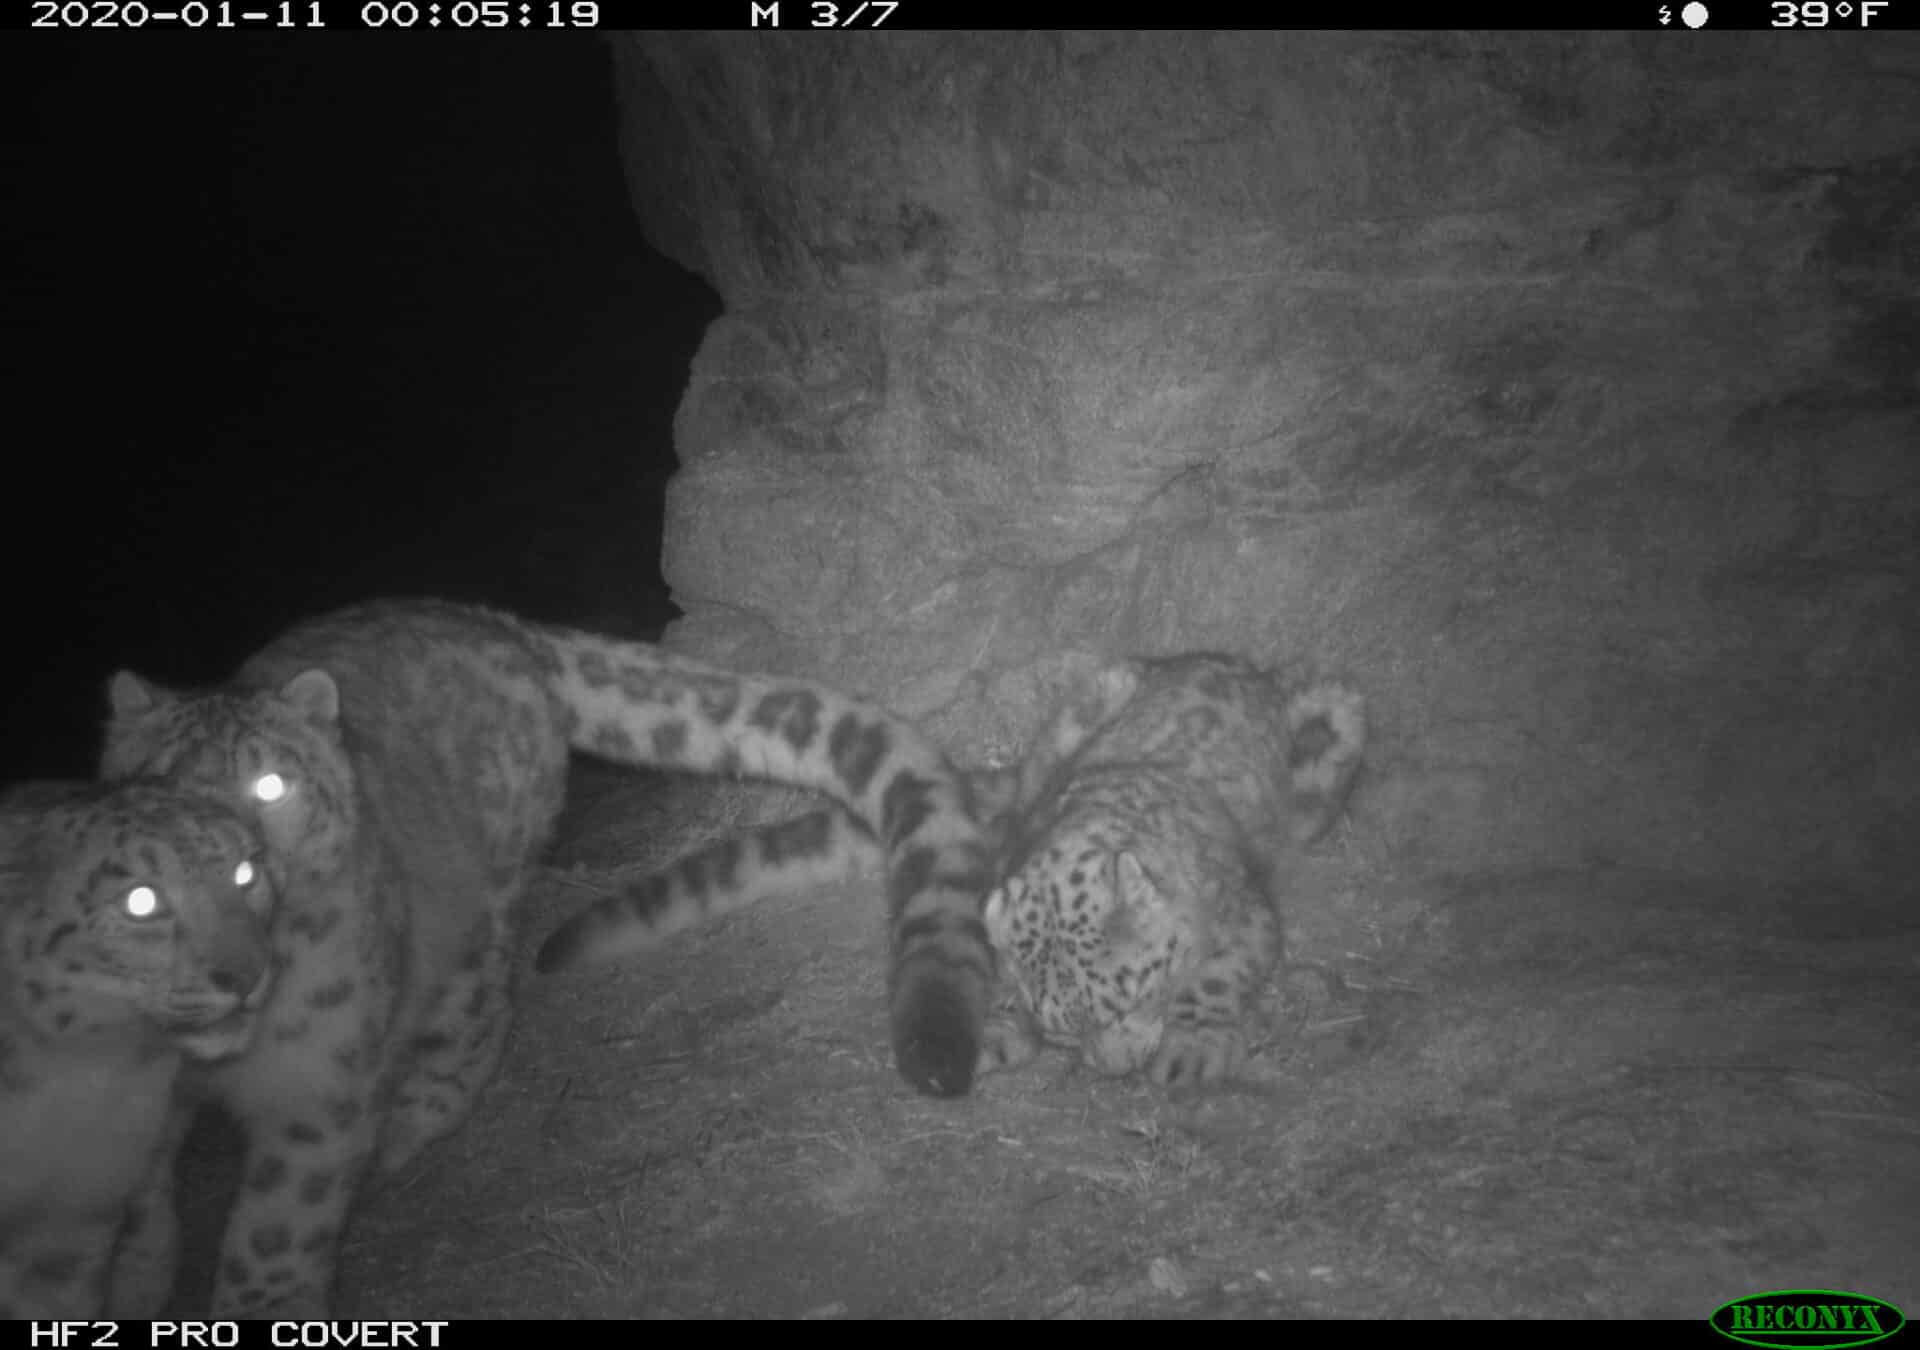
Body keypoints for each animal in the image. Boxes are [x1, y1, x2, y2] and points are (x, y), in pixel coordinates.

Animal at [101, 595, 1006, 1313]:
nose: (229, 858)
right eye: (162, 782)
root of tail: (484, 616)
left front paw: (260, 1300)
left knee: (480, 1015)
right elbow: (129, 1213)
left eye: (272, 786)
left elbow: (277, 1226)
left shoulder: (319, 1081)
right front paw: (130, 1290)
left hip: (483, 907)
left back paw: (410, 1129)